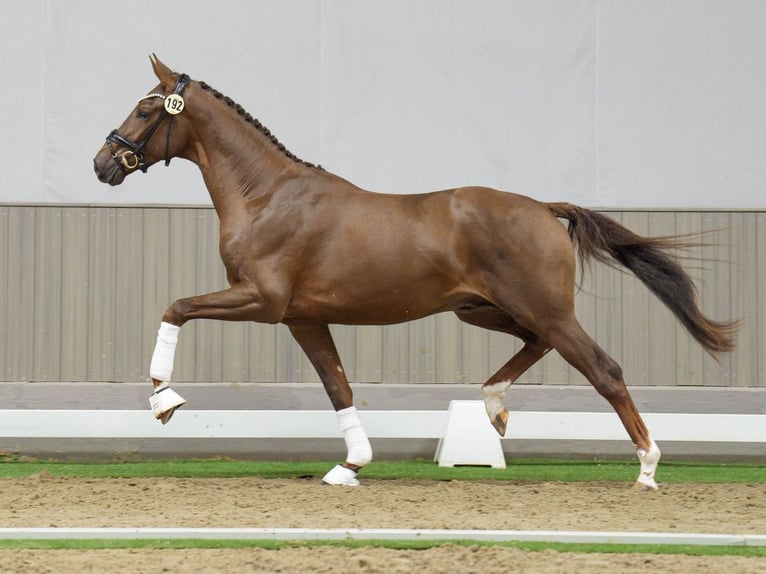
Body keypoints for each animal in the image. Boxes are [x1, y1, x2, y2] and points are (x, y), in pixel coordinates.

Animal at [93, 56, 736, 490]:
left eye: (146, 108)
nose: (103, 163)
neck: (267, 196)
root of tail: (544, 208)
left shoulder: (261, 300)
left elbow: (176, 306)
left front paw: (164, 400)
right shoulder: (303, 318)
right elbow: (338, 386)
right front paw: (349, 466)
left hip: (542, 309)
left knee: (604, 369)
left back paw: (648, 467)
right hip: (485, 310)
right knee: (538, 345)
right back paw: (494, 407)